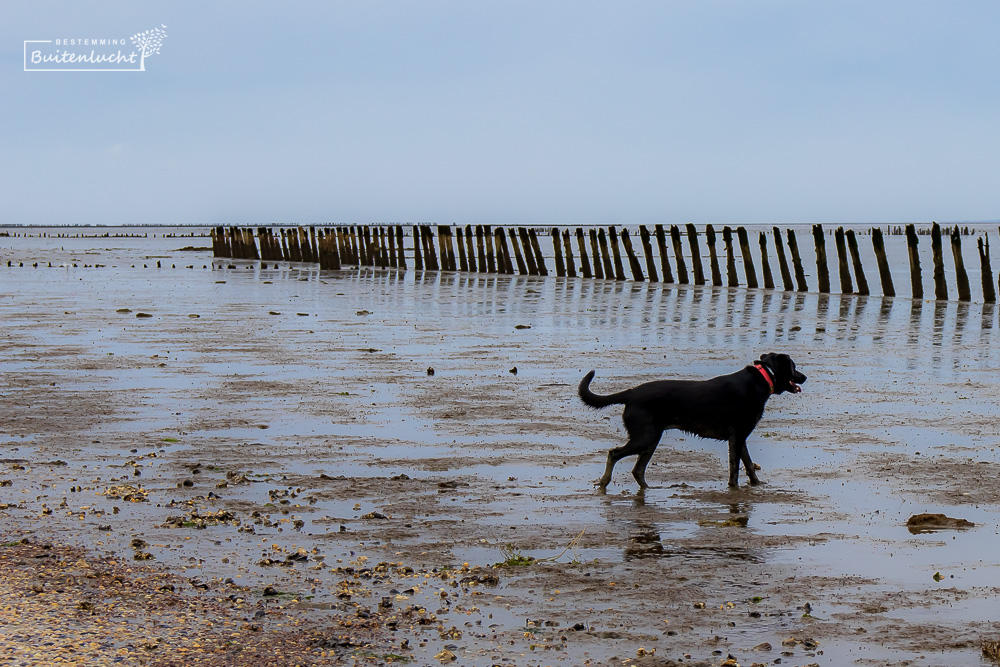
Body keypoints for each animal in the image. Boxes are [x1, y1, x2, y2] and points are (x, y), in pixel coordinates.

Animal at [580, 354, 804, 490]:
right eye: (793, 366)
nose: (805, 377)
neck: (763, 378)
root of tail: (631, 393)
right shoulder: (737, 437)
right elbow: (735, 467)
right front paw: (734, 487)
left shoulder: (740, 437)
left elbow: (748, 464)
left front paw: (757, 484)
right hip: (645, 438)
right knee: (614, 454)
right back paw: (604, 482)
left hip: (650, 440)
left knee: (638, 470)